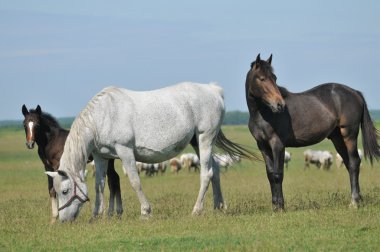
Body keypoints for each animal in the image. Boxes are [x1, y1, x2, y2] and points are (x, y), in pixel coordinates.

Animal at [46, 82, 256, 220]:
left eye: (65, 190)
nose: (63, 220)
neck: (102, 116)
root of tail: (213, 90)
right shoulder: (100, 157)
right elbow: (99, 184)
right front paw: (96, 215)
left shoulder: (125, 152)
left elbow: (135, 181)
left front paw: (145, 211)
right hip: (197, 141)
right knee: (216, 171)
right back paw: (218, 206)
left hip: (205, 138)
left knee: (207, 173)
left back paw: (197, 210)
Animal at [246, 54, 380, 211]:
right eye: (262, 78)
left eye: (274, 77)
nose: (280, 105)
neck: (263, 113)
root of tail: (355, 93)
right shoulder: (263, 146)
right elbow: (270, 175)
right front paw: (275, 206)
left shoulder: (277, 144)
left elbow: (278, 175)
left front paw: (281, 207)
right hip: (337, 138)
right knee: (348, 164)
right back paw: (358, 198)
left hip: (349, 135)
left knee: (354, 163)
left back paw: (354, 202)